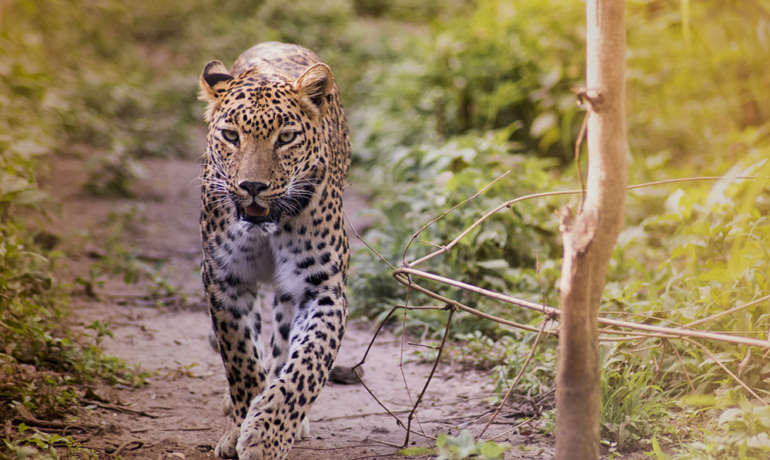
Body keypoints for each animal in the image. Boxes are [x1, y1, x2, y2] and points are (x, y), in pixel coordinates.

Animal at [198, 42, 351, 460]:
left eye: (285, 138)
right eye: (231, 135)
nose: (252, 186)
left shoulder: (322, 288)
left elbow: (307, 364)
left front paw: (267, 434)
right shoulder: (225, 280)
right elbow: (241, 358)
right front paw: (240, 427)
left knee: (283, 345)